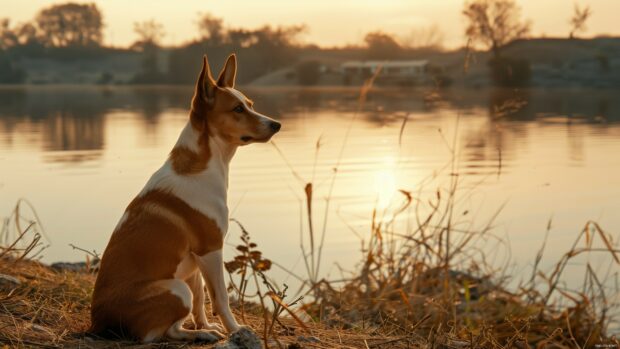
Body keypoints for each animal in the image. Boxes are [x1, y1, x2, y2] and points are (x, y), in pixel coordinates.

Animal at [89, 53, 280, 342]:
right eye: (237, 109)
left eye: (250, 104)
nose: (277, 125)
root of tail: (97, 323)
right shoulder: (210, 250)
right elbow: (220, 298)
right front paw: (235, 330)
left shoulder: (195, 262)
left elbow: (202, 299)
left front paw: (206, 324)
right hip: (177, 289)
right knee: (164, 333)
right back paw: (201, 335)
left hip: (182, 285)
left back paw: (203, 331)